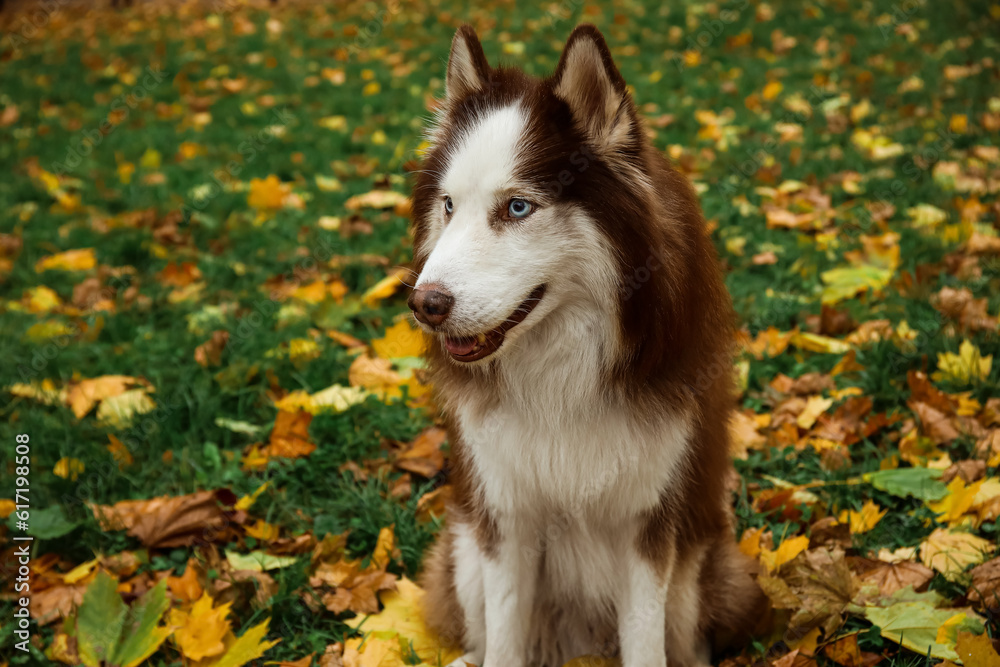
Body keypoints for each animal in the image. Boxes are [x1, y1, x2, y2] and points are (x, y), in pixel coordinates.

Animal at [406, 22, 764, 667]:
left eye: (517, 206)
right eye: (448, 205)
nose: (425, 304)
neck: (562, 371)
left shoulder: (648, 523)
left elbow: (646, 644)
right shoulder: (505, 514)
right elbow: (504, 640)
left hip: (696, 576)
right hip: (464, 549)